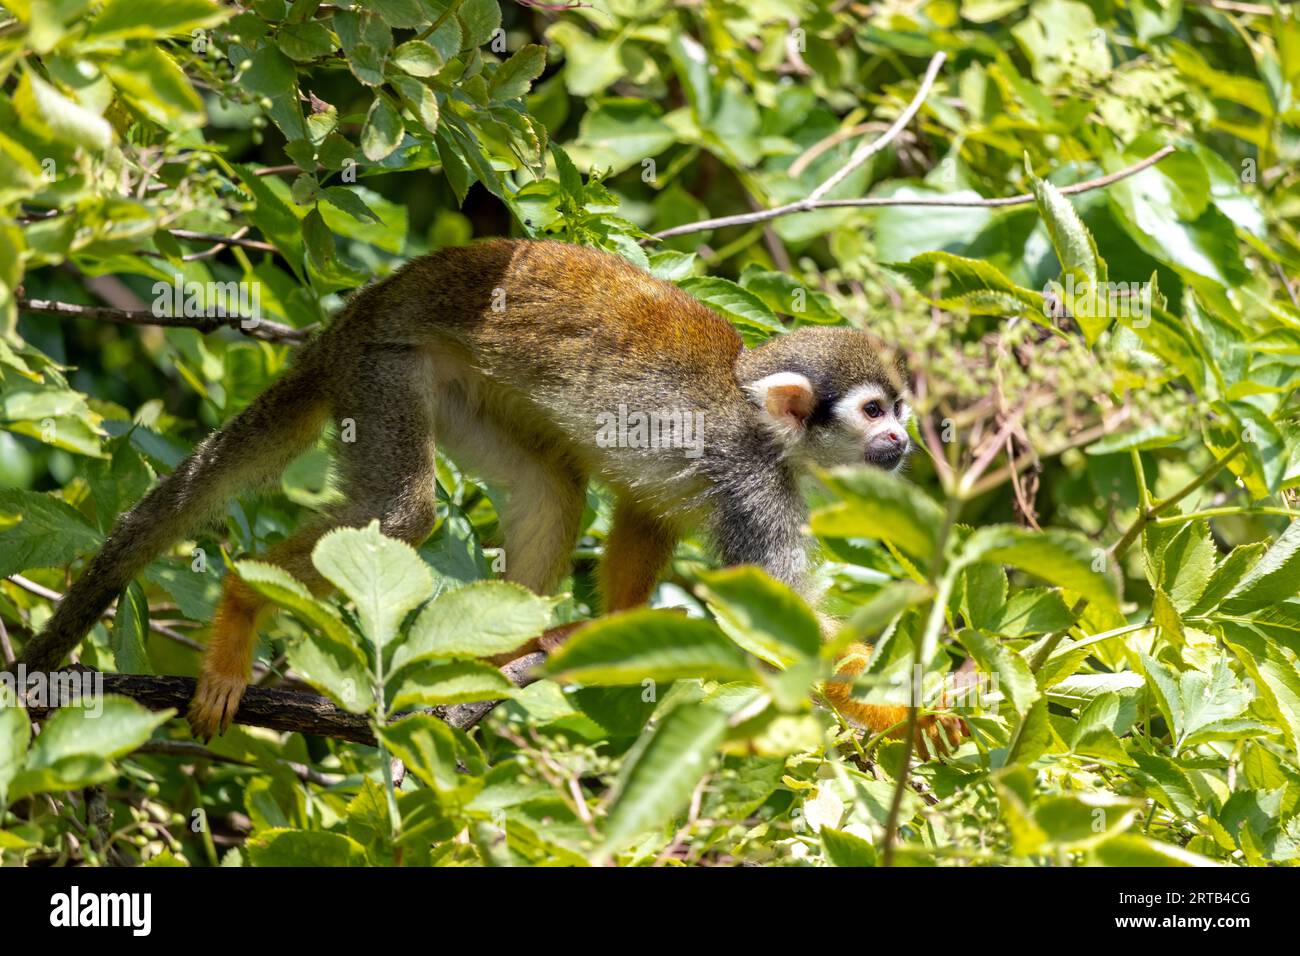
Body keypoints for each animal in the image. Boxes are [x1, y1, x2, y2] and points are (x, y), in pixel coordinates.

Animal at [22, 239, 935, 738]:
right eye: (873, 409)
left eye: (899, 409)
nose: (904, 438)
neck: (766, 424)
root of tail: (352, 317)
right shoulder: (754, 484)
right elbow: (787, 631)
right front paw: (918, 721)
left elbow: (647, 508)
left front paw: (608, 632)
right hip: (383, 371)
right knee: (404, 510)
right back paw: (248, 601)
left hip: (463, 392)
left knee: (555, 483)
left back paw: (499, 655)